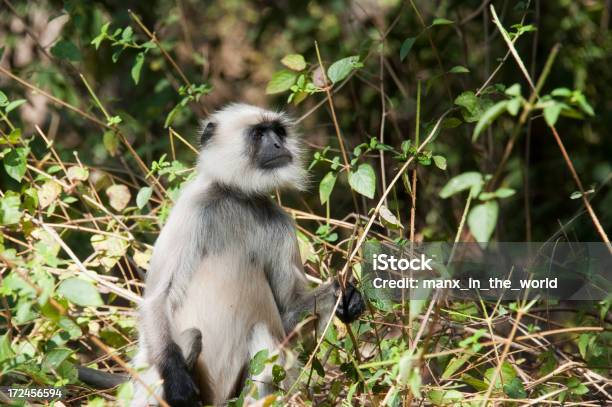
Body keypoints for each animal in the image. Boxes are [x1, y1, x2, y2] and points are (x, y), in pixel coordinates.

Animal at [130, 103, 364, 406]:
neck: (238, 198)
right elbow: (157, 298)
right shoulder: (192, 208)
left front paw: (346, 296)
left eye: (278, 132)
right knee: (190, 337)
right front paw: (177, 382)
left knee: (263, 336)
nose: (278, 145)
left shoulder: (282, 225)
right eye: (258, 134)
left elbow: (287, 313)